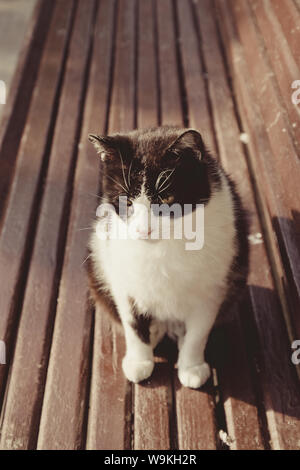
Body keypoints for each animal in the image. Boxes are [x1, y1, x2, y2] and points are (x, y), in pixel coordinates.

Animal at [86, 126, 248, 390]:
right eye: (126, 201)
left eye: (166, 199)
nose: (144, 230)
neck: (164, 248)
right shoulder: (123, 277)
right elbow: (133, 323)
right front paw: (139, 362)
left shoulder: (213, 288)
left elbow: (198, 332)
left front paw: (191, 367)